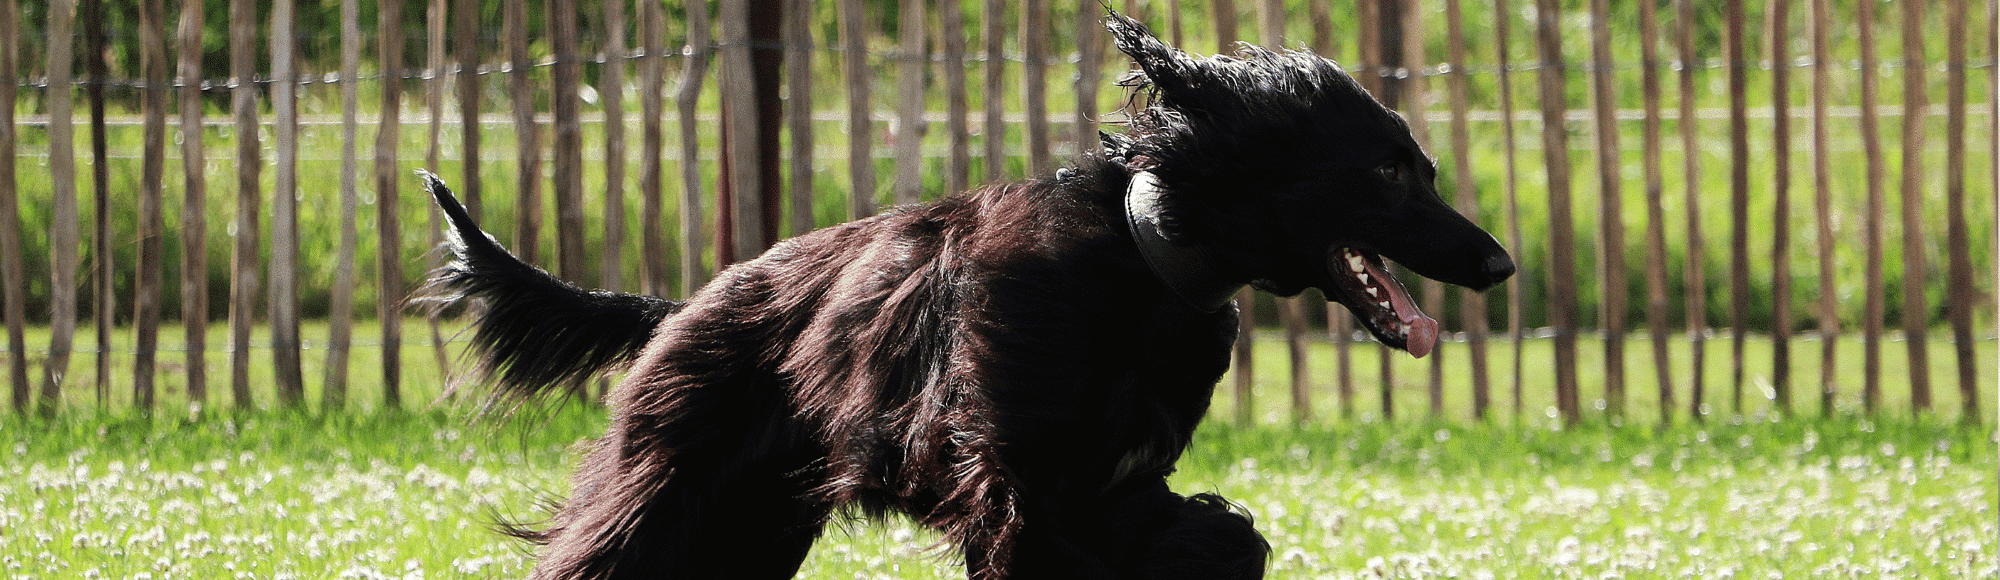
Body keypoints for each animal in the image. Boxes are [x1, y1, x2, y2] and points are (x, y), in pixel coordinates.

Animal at [426, 12, 1512, 580]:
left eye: (1419, 166)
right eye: (1388, 172)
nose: (1499, 264)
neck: (1138, 272)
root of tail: (686, 304)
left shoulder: (1109, 483)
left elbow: (1212, 535)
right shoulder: (1007, 480)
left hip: (751, 514)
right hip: (668, 479)